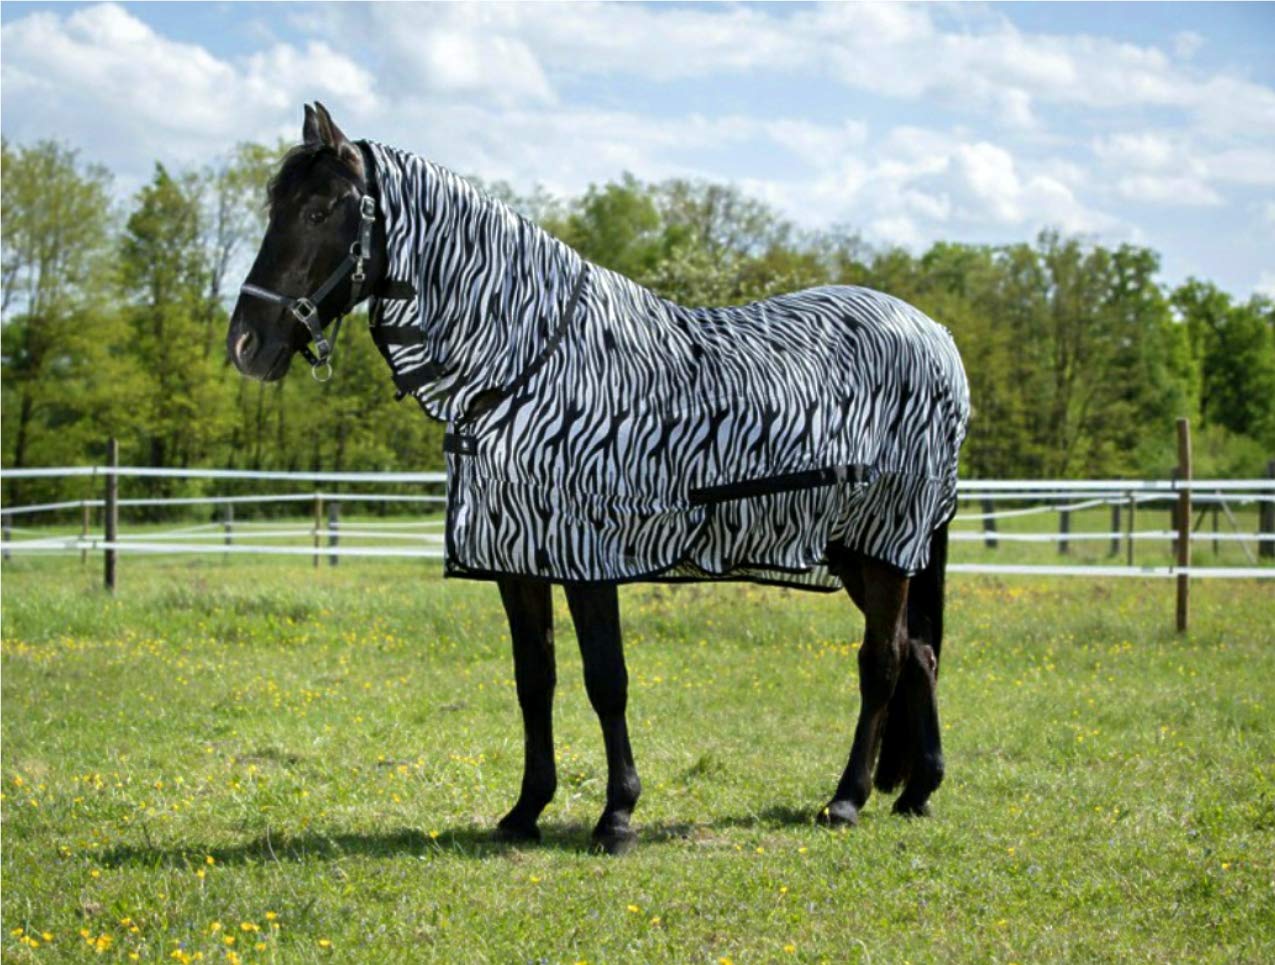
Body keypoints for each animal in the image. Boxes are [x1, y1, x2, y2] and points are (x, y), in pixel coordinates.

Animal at [227, 103, 969, 854]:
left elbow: (605, 680)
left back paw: (846, 799)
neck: (530, 362)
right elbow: (535, 678)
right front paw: (525, 809)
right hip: (858, 551)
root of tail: (934, 333)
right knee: (919, 653)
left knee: (880, 661)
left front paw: (617, 815)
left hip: (886, 545)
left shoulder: (589, 557)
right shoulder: (519, 559)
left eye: (320, 209)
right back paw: (918, 789)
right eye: (275, 205)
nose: (245, 345)